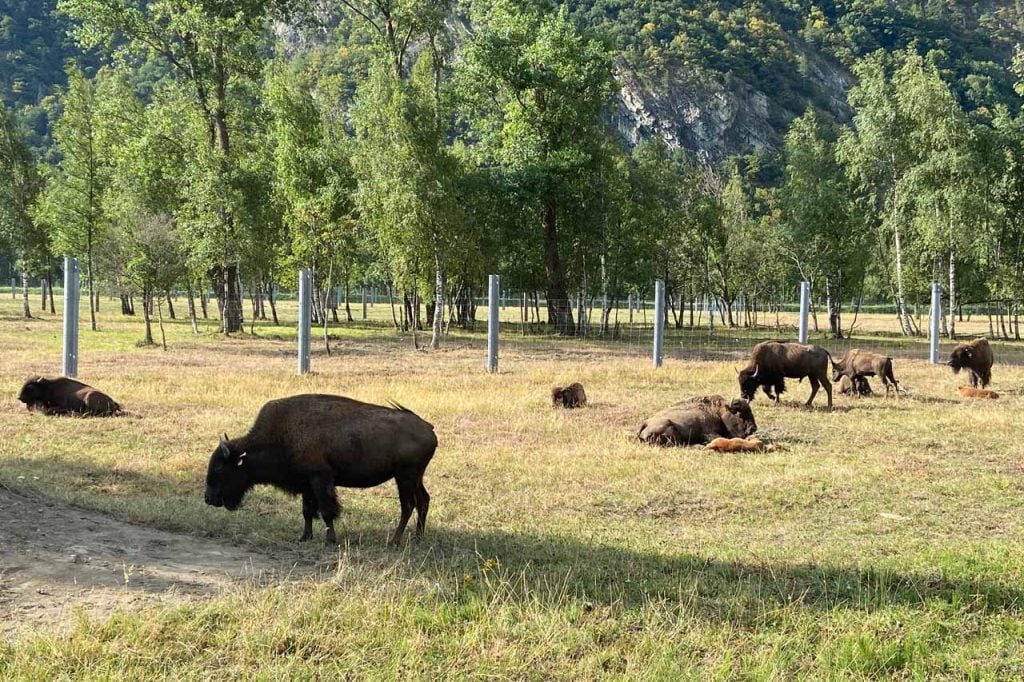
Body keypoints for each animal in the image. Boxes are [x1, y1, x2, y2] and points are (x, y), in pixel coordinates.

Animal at [203, 393, 436, 540]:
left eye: (220, 468)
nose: (208, 498)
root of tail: (428, 428)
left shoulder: (320, 479)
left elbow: (326, 511)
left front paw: (330, 539)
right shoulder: (307, 484)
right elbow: (307, 512)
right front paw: (304, 537)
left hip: (404, 477)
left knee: (408, 506)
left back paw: (394, 541)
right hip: (415, 477)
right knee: (423, 500)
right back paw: (418, 537)